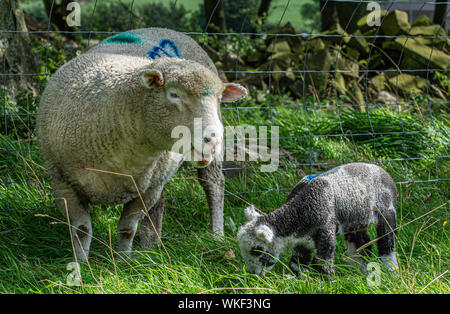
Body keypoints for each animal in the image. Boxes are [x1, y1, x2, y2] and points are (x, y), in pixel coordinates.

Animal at [37, 28, 248, 260]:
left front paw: (123, 261)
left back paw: (216, 234)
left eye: (218, 98)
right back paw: (151, 244)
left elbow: (127, 229)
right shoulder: (63, 183)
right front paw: (81, 263)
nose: (214, 138)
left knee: (213, 183)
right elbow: (81, 231)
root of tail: (170, 30)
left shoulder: (146, 191)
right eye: (174, 94)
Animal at [237, 163, 400, 276]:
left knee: (387, 241)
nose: (252, 274)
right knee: (362, 245)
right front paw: (299, 280)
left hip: (387, 208)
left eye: (257, 250)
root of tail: (382, 170)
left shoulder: (326, 226)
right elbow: (297, 263)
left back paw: (391, 270)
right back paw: (363, 272)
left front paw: (329, 284)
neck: (300, 210)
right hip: (355, 219)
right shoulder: (304, 238)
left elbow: (322, 263)